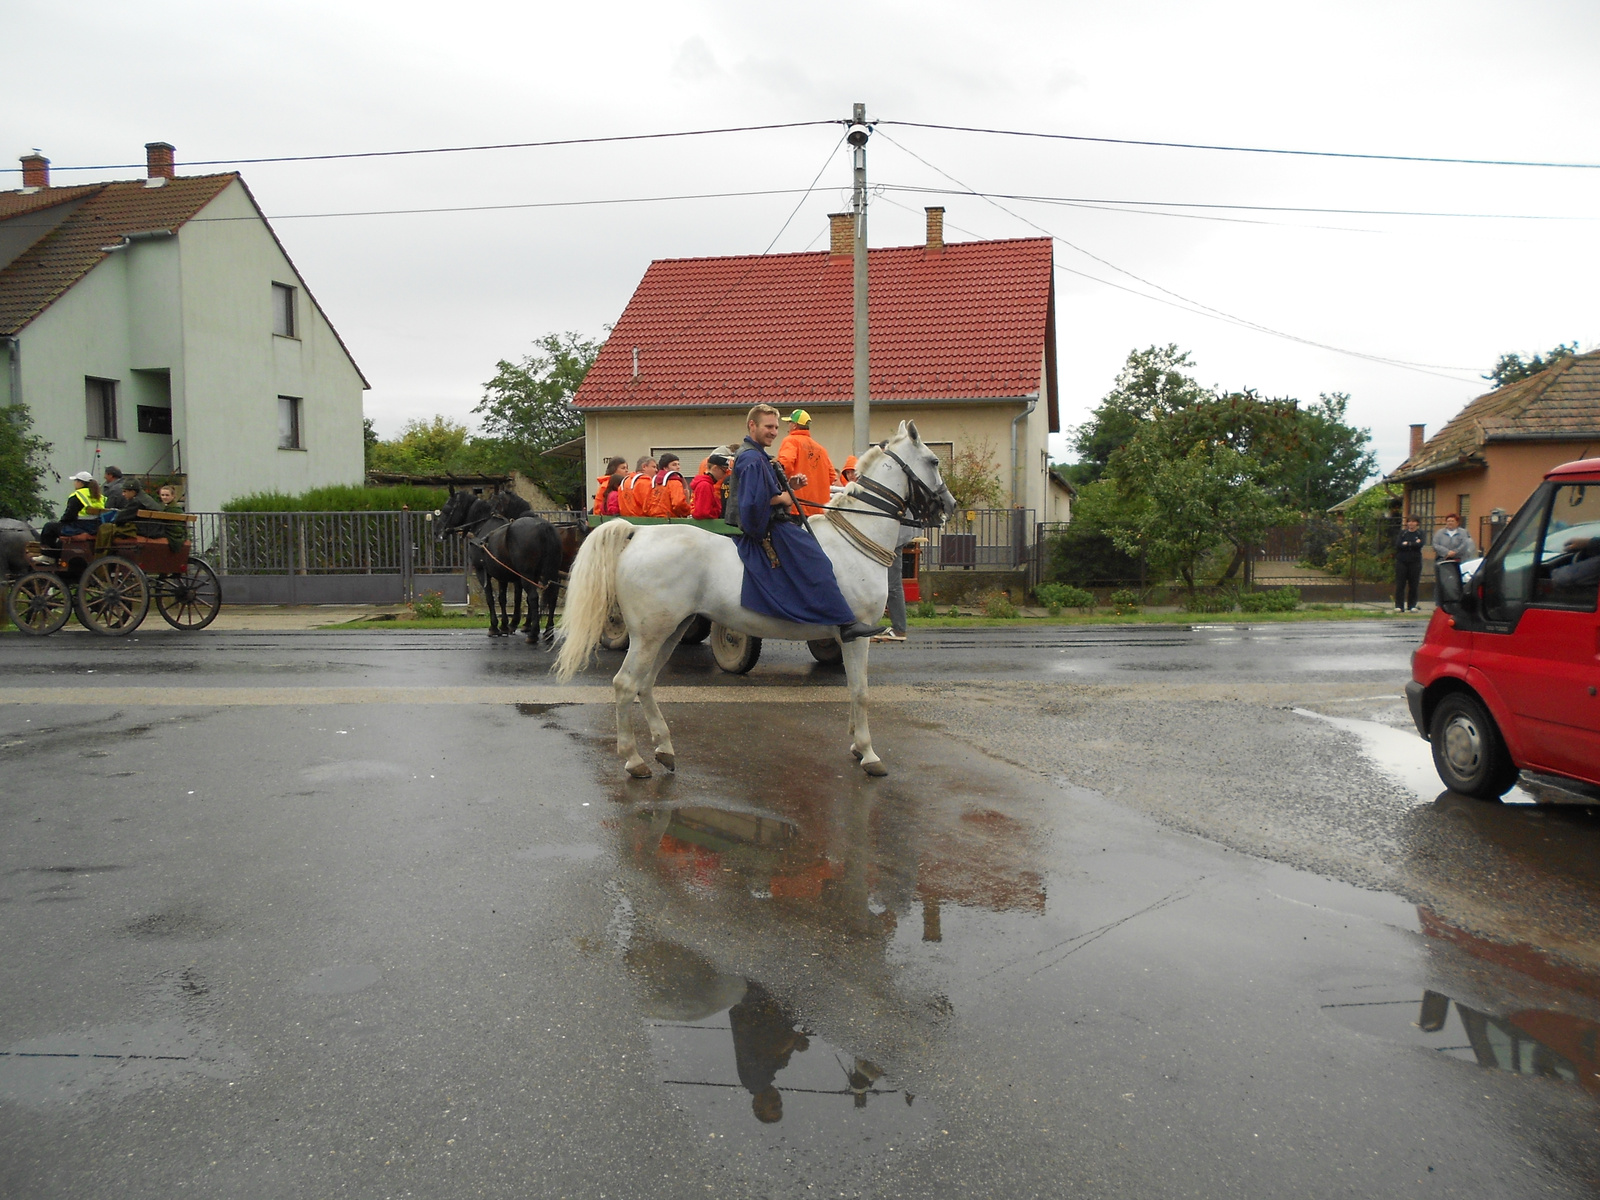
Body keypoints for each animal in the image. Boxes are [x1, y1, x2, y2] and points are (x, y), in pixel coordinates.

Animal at [435, 489, 566, 643]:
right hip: (549, 573)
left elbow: (491, 598)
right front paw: (505, 626)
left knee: (533, 597)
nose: (437, 532)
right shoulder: (503, 574)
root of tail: (543, 526)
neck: (482, 527)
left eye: (446, 509)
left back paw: (533, 633)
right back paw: (548, 631)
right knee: (552, 596)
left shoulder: (482, 571)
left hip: (527, 575)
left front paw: (494, 627)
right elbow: (503, 599)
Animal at [553, 422, 947, 780]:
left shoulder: (846, 637)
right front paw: (868, 753)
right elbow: (861, 692)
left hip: (671, 631)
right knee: (624, 684)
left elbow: (853, 688)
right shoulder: (858, 634)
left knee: (645, 684)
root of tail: (637, 533)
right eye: (934, 460)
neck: (855, 540)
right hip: (649, 635)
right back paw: (634, 759)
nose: (949, 505)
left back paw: (664, 748)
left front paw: (856, 744)